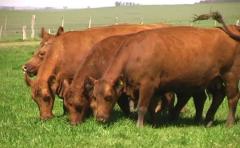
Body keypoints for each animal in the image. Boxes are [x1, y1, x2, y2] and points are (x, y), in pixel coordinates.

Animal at [92, 24, 240, 127]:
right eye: (94, 97)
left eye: (108, 97)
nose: (100, 119)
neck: (134, 54)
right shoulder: (154, 89)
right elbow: (151, 107)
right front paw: (153, 122)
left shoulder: (147, 85)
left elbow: (142, 107)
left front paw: (140, 126)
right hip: (214, 79)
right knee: (218, 96)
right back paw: (208, 121)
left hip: (230, 75)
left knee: (232, 98)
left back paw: (229, 123)